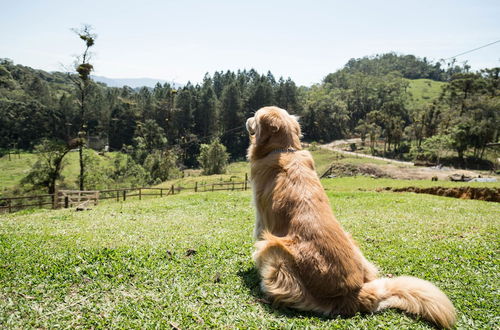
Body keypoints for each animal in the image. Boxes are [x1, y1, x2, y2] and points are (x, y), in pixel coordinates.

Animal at [246, 107, 458, 328]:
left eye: (255, 116)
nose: (247, 118)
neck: (284, 150)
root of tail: (354, 292)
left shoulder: (261, 218)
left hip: (273, 251)